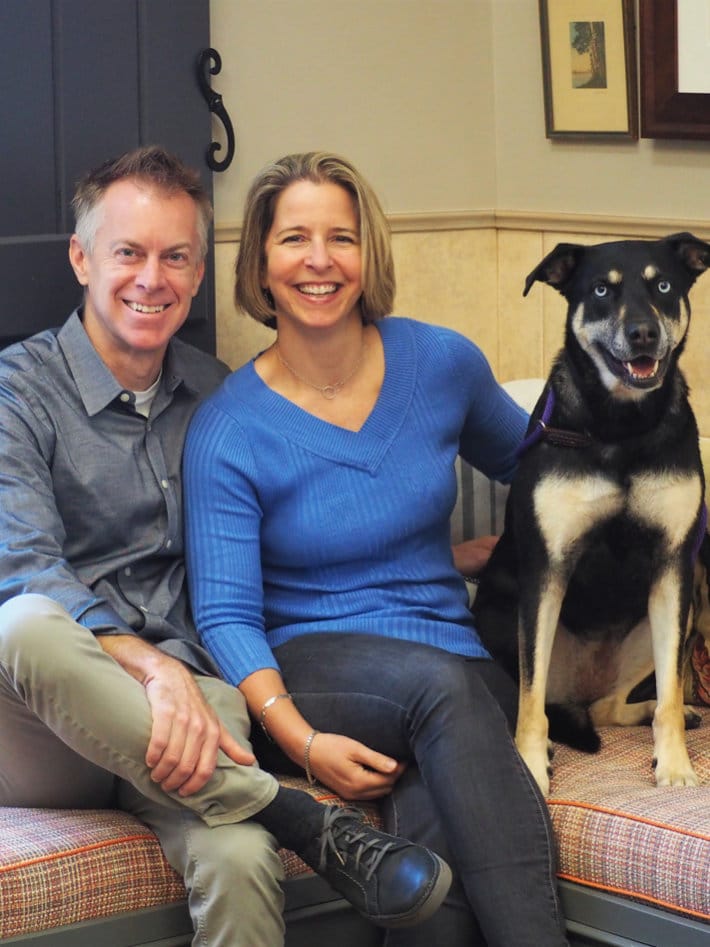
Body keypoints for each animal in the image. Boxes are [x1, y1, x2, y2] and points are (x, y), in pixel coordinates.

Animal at [476, 233, 708, 796]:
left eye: (663, 286)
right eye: (602, 289)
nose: (643, 332)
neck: (621, 423)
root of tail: (582, 688)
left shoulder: (674, 566)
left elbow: (672, 693)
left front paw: (676, 766)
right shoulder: (546, 570)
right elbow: (530, 700)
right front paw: (531, 764)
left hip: (667, 618)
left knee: (614, 704)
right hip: (501, 617)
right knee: (547, 697)